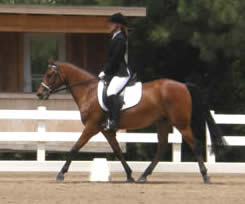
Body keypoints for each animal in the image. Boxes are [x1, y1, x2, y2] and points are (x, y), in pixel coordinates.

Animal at [36, 59, 226, 183]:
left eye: (50, 74)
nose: (39, 94)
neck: (88, 91)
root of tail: (184, 85)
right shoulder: (106, 130)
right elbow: (118, 150)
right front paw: (129, 175)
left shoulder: (91, 127)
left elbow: (75, 148)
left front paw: (61, 174)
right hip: (163, 122)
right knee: (162, 147)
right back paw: (143, 176)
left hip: (181, 124)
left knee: (194, 144)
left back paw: (205, 176)